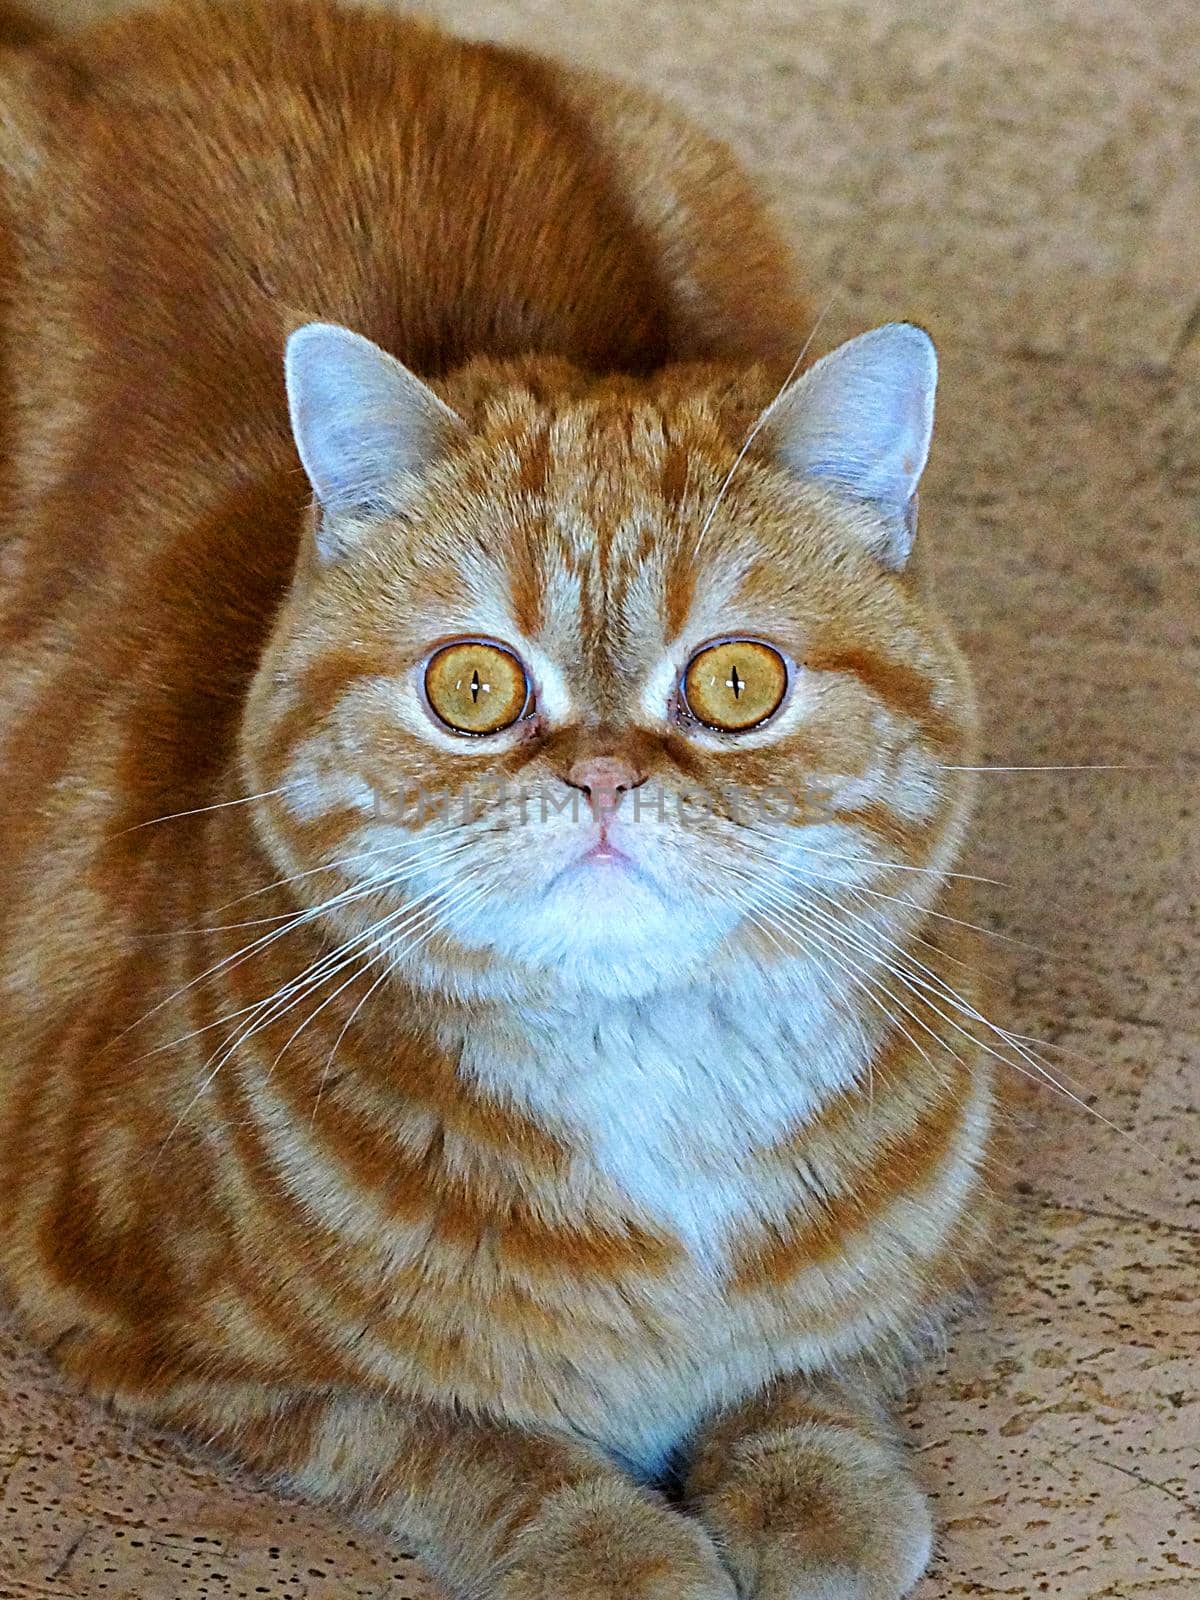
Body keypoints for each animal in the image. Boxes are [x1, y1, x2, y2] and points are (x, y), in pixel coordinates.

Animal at [0, 6, 998, 1593]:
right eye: (472, 687)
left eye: (736, 683)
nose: (599, 772)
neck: (655, 1099)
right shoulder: (133, 1319)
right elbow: (449, 1433)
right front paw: (609, 1540)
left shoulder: (931, 1255)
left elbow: (818, 1362)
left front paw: (813, 1489)